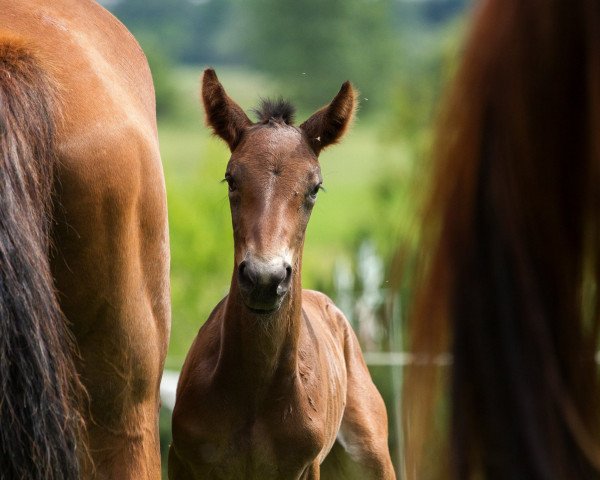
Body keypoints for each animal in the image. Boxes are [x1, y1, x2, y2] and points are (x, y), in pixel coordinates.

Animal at [168, 68, 394, 480]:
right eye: (231, 179)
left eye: (315, 187)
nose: (265, 279)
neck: (255, 395)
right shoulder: (182, 459)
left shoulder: (304, 467)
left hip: (371, 455)